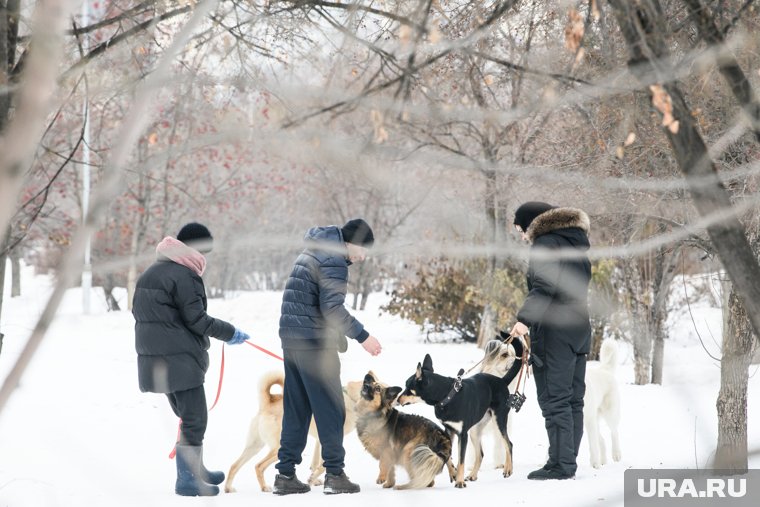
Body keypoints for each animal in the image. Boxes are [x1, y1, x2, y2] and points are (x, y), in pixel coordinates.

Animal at [223, 372, 362, 494]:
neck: (350, 398)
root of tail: (268, 403)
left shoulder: (319, 441)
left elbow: (316, 463)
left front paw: (314, 479)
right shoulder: (332, 440)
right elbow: (323, 465)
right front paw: (315, 479)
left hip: (254, 446)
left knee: (234, 466)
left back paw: (228, 488)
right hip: (277, 448)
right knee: (259, 466)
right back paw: (265, 487)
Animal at [398, 338, 524, 488]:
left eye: (408, 388)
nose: (398, 399)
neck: (447, 395)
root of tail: (501, 380)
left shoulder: (462, 434)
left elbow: (461, 459)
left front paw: (459, 481)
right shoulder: (448, 430)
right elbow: (448, 456)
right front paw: (454, 473)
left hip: (499, 420)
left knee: (508, 443)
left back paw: (508, 469)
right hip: (476, 430)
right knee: (480, 454)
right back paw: (473, 475)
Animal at [580, 340, 624, 470]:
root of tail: (604, 369)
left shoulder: (589, 420)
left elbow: (593, 445)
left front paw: (595, 464)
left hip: (609, 415)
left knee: (614, 432)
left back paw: (616, 454)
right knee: (602, 440)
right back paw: (603, 461)